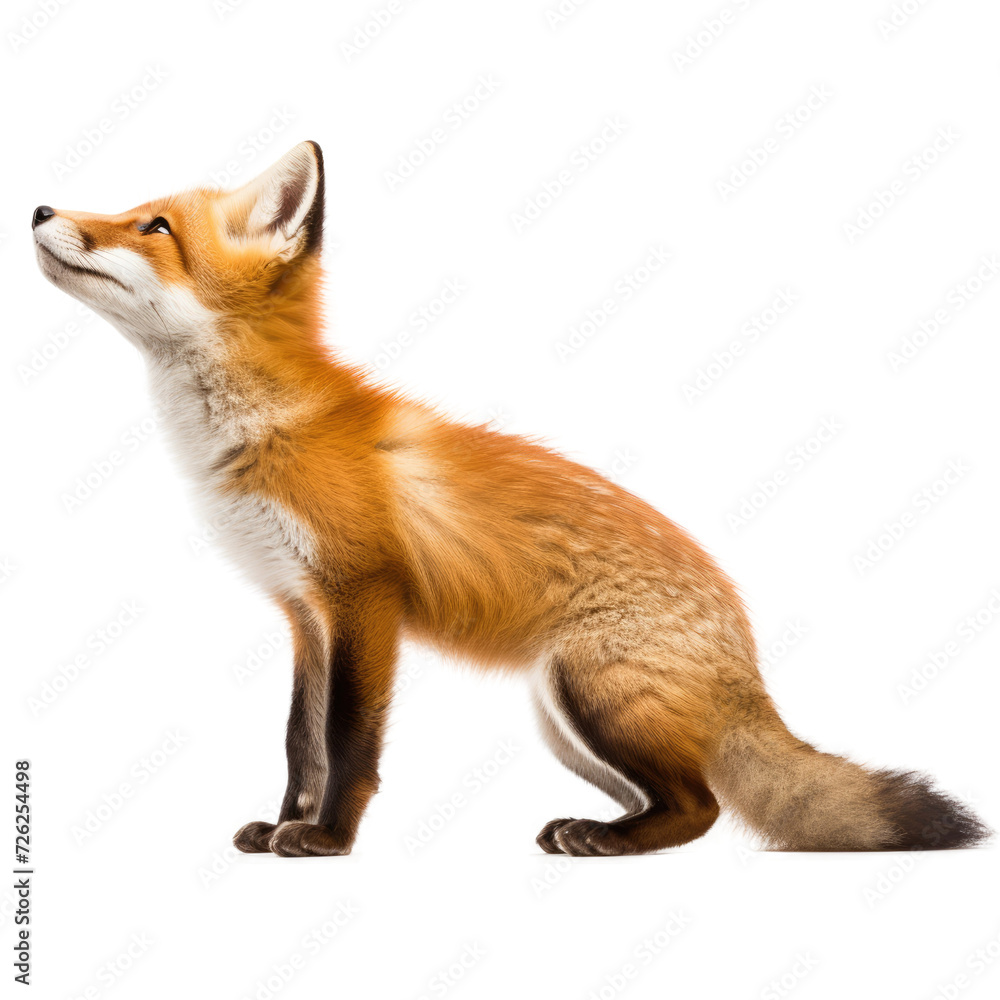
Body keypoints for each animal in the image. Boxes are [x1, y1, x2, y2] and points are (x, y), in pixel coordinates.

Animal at [32, 140, 989, 857]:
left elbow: (347, 742)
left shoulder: (364, 597)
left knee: (706, 810)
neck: (259, 430)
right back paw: (600, 826)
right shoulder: (304, 611)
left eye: (154, 226)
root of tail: (747, 658)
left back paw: (608, 843)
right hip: (562, 719)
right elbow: (300, 741)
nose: (40, 211)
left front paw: (328, 839)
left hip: (589, 692)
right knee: (684, 801)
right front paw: (283, 825)